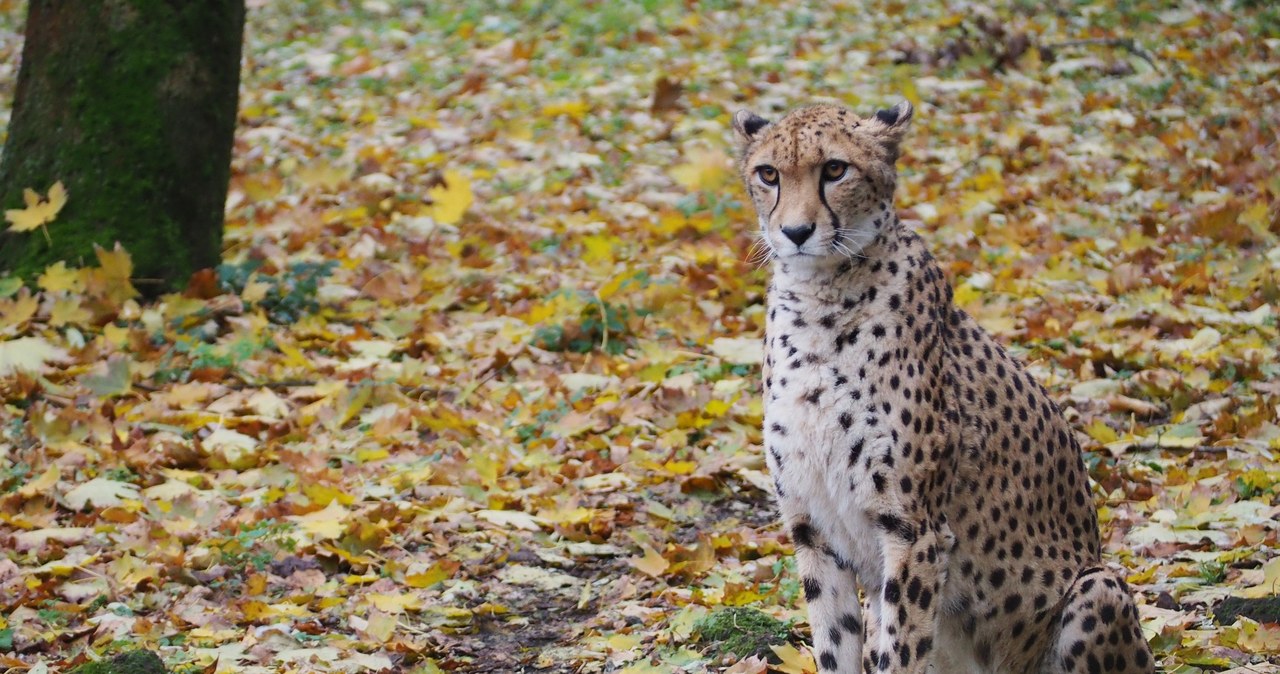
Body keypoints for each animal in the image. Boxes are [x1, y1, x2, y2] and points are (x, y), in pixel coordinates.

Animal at [737, 101, 1157, 674]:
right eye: (768, 174)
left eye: (835, 170)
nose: (796, 231)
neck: (819, 302)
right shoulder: (814, 529)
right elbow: (835, 642)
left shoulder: (914, 531)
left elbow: (902, 649)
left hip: (1098, 585)